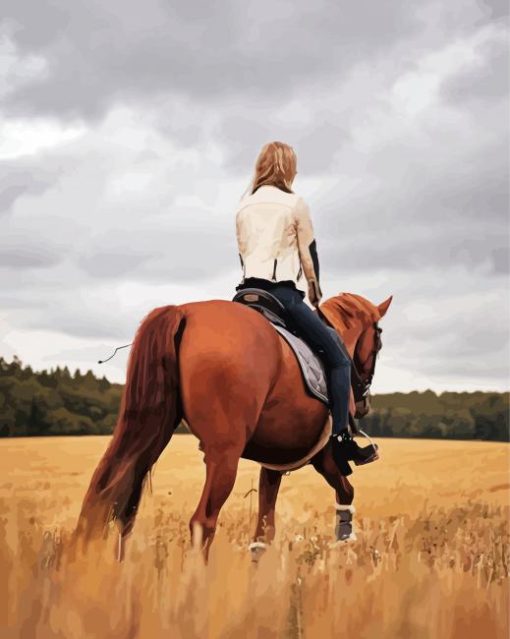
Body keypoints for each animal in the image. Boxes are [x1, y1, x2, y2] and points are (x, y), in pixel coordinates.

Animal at [75, 292, 392, 556]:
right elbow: (347, 490)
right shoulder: (325, 456)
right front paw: (344, 538)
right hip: (224, 453)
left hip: (150, 429)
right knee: (202, 522)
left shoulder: (273, 463)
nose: (364, 404)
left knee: (115, 504)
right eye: (378, 341)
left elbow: (264, 529)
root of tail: (183, 312)